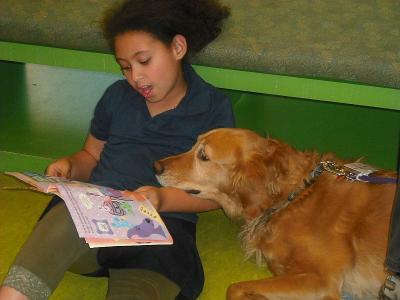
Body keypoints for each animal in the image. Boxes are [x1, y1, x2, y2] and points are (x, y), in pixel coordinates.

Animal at [154, 128, 396, 300]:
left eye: (203, 155)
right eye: (193, 145)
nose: (156, 166)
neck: (293, 197)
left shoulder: (322, 280)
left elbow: (234, 288)